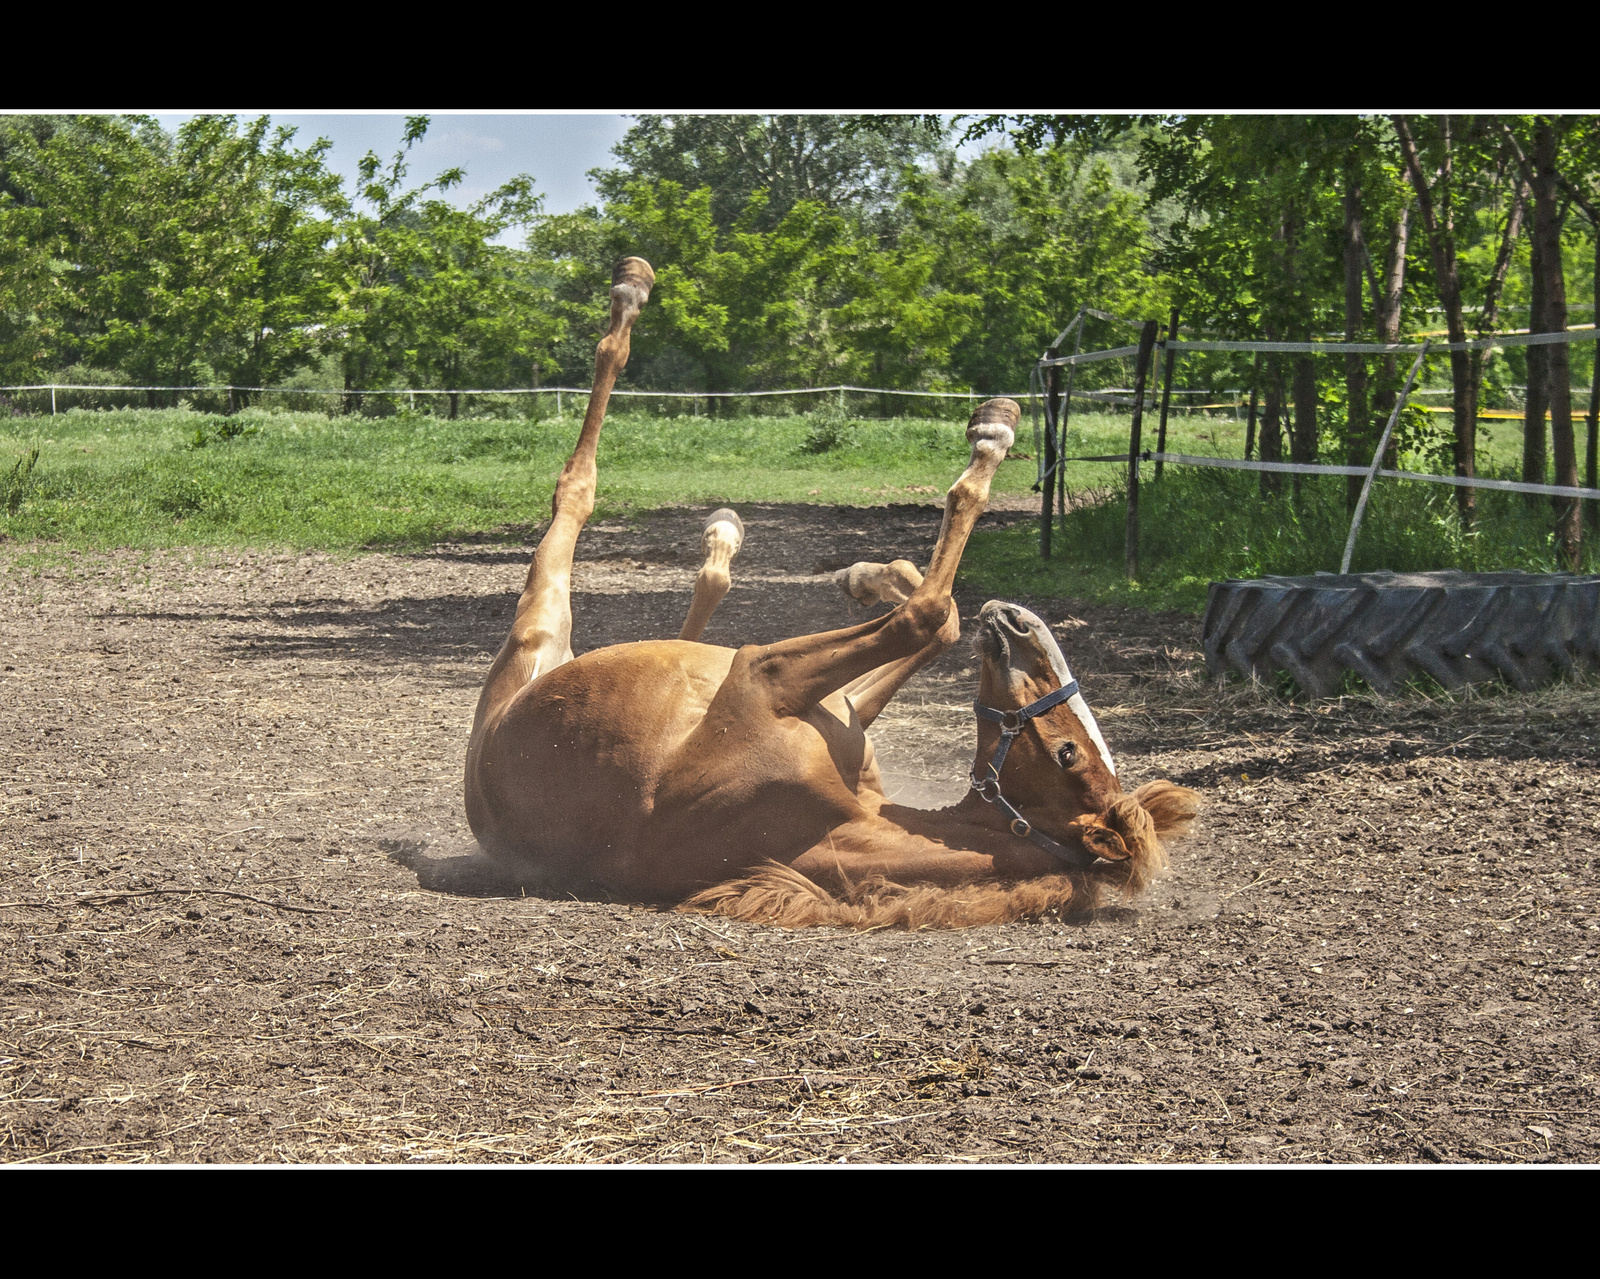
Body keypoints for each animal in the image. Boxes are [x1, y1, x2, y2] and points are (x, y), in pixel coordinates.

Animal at [464, 254, 1203, 928]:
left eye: (1065, 753)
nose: (1018, 623)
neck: (832, 822)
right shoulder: (817, 698)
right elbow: (937, 614)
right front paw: (875, 574)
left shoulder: (763, 672)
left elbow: (929, 612)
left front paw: (992, 436)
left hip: (536, 634)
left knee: (576, 486)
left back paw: (634, 297)